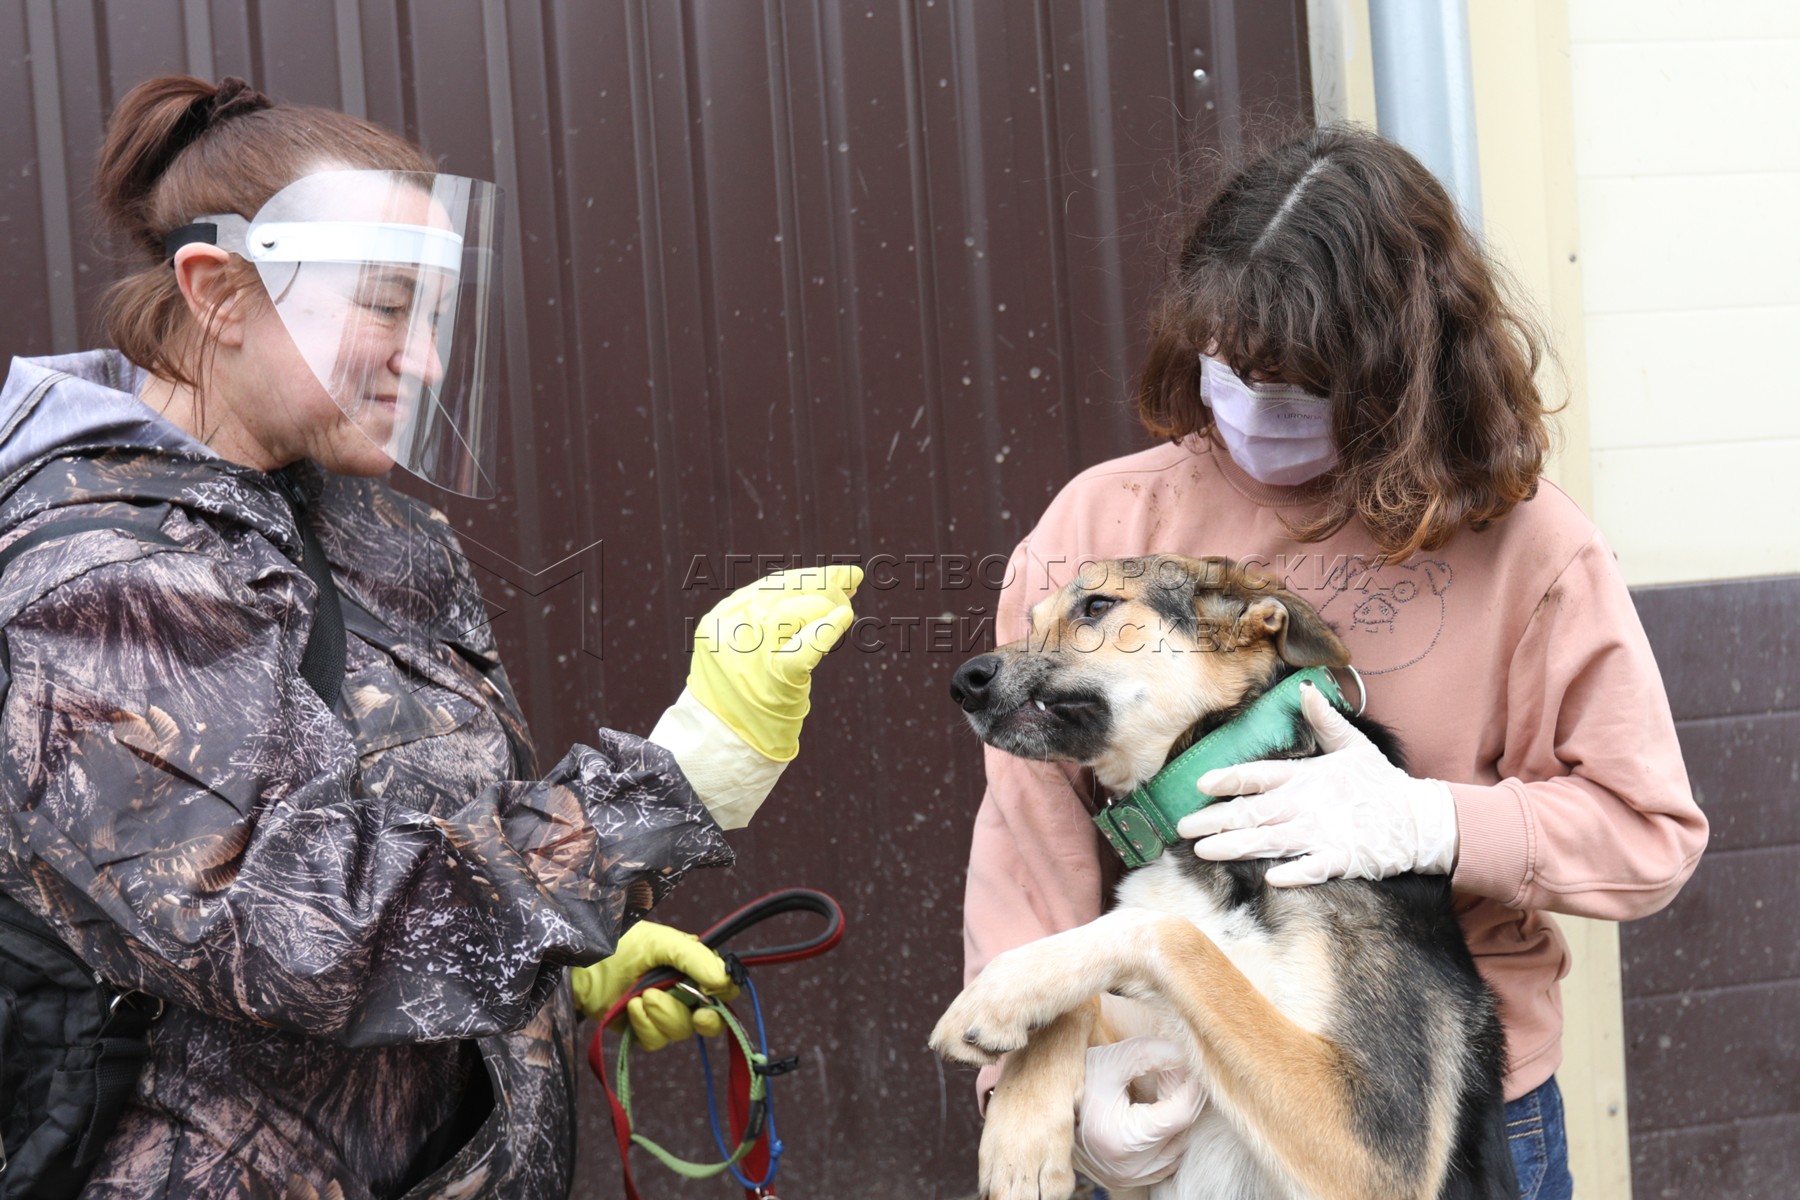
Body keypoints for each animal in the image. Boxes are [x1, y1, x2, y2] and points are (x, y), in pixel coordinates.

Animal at [936, 561, 1512, 1200]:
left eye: (1097, 606)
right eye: (1030, 620)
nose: (962, 681)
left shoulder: (1380, 1140)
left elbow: (1166, 933)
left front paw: (1001, 989)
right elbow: (1087, 1000)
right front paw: (1021, 1131)